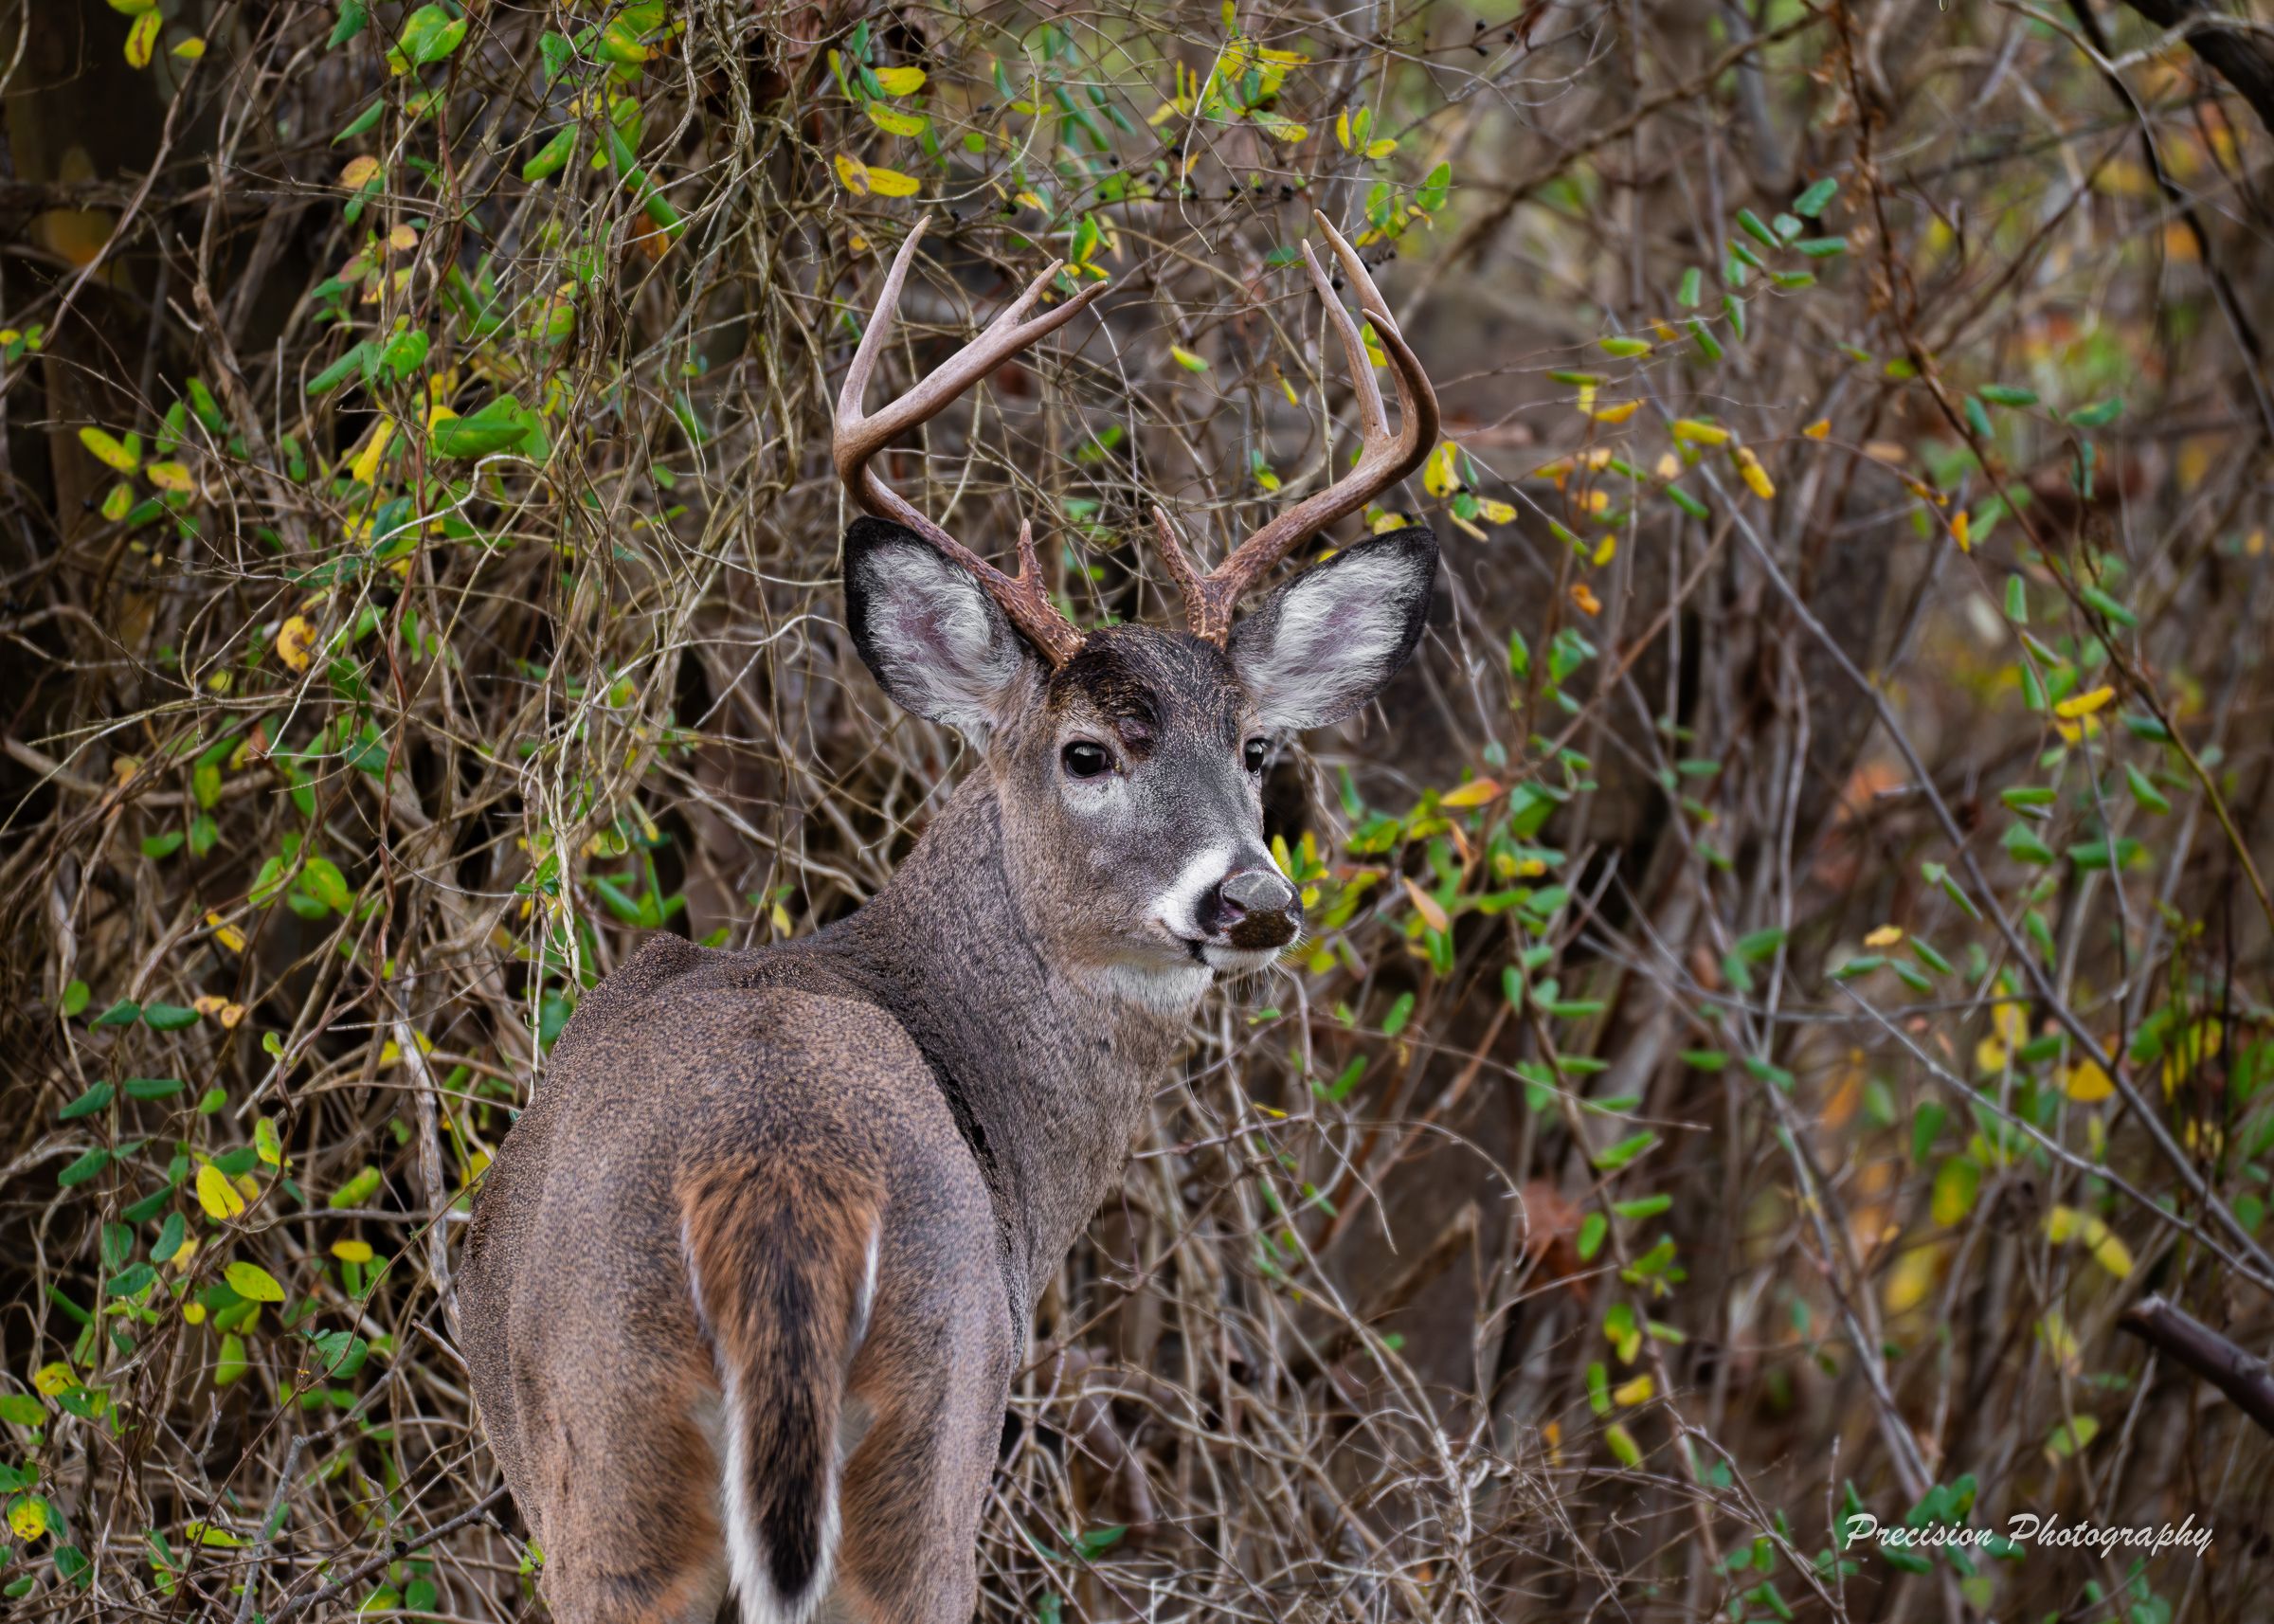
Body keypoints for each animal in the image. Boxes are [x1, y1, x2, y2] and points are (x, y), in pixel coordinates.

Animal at [457, 210, 1441, 1624]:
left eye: (1257, 746)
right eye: (1087, 753)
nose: (1254, 897)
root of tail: (783, 1194)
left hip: (697, 1453)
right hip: (906, 1434)